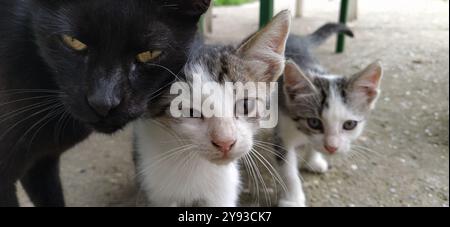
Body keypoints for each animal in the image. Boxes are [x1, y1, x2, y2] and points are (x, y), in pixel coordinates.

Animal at [274, 24, 384, 207]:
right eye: (314, 122)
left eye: (349, 125)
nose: (332, 147)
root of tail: (298, 37)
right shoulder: (282, 125)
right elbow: (287, 168)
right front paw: (293, 199)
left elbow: (313, 144)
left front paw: (313, 160)